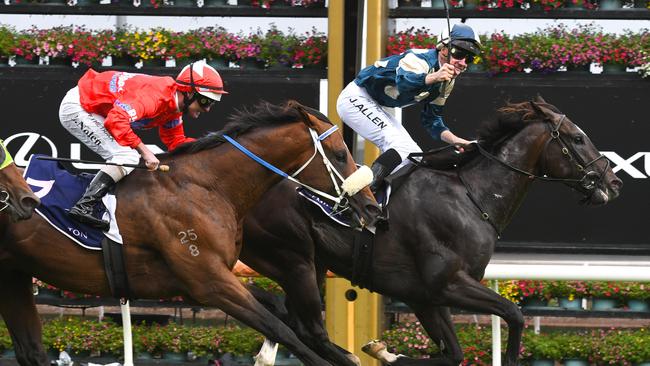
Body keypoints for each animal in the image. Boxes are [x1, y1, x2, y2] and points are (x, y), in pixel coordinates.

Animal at [0, 101, 378, 366]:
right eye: (340, 154)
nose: (372, 207)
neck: (206, 187)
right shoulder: (208, 281)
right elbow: (280, 327)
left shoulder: (195, 283)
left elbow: (280, 313)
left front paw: (348, 354)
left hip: (14, 275)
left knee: (31, 350)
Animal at [239, 97, 624, 366]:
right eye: (578, 138)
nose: (613, 182)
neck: (472, 197)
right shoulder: (446, 283)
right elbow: (514, 314)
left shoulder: (425, 296)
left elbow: (453, 353)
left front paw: (383, 350)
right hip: (293, 259)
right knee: (304, 327)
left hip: (309, 264)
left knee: (293, 321)